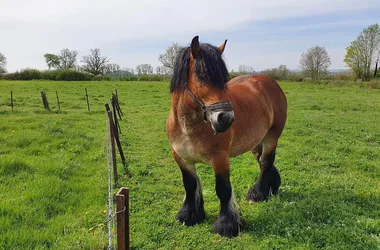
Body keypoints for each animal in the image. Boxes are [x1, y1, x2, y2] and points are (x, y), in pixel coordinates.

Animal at [166, 35, 288, 236]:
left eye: (224, 79)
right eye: (202, 76)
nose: (226, 118)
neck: (188, 126)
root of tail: (270, 82)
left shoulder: (220, 159)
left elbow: (223, 189)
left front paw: (226, 225)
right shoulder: (181, 158)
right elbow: (190, 185)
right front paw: (189, 215)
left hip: (272, 136)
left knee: (266, 162)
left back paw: (258, 194)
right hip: (255, 141)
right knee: (262, 161)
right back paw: (271, 186)